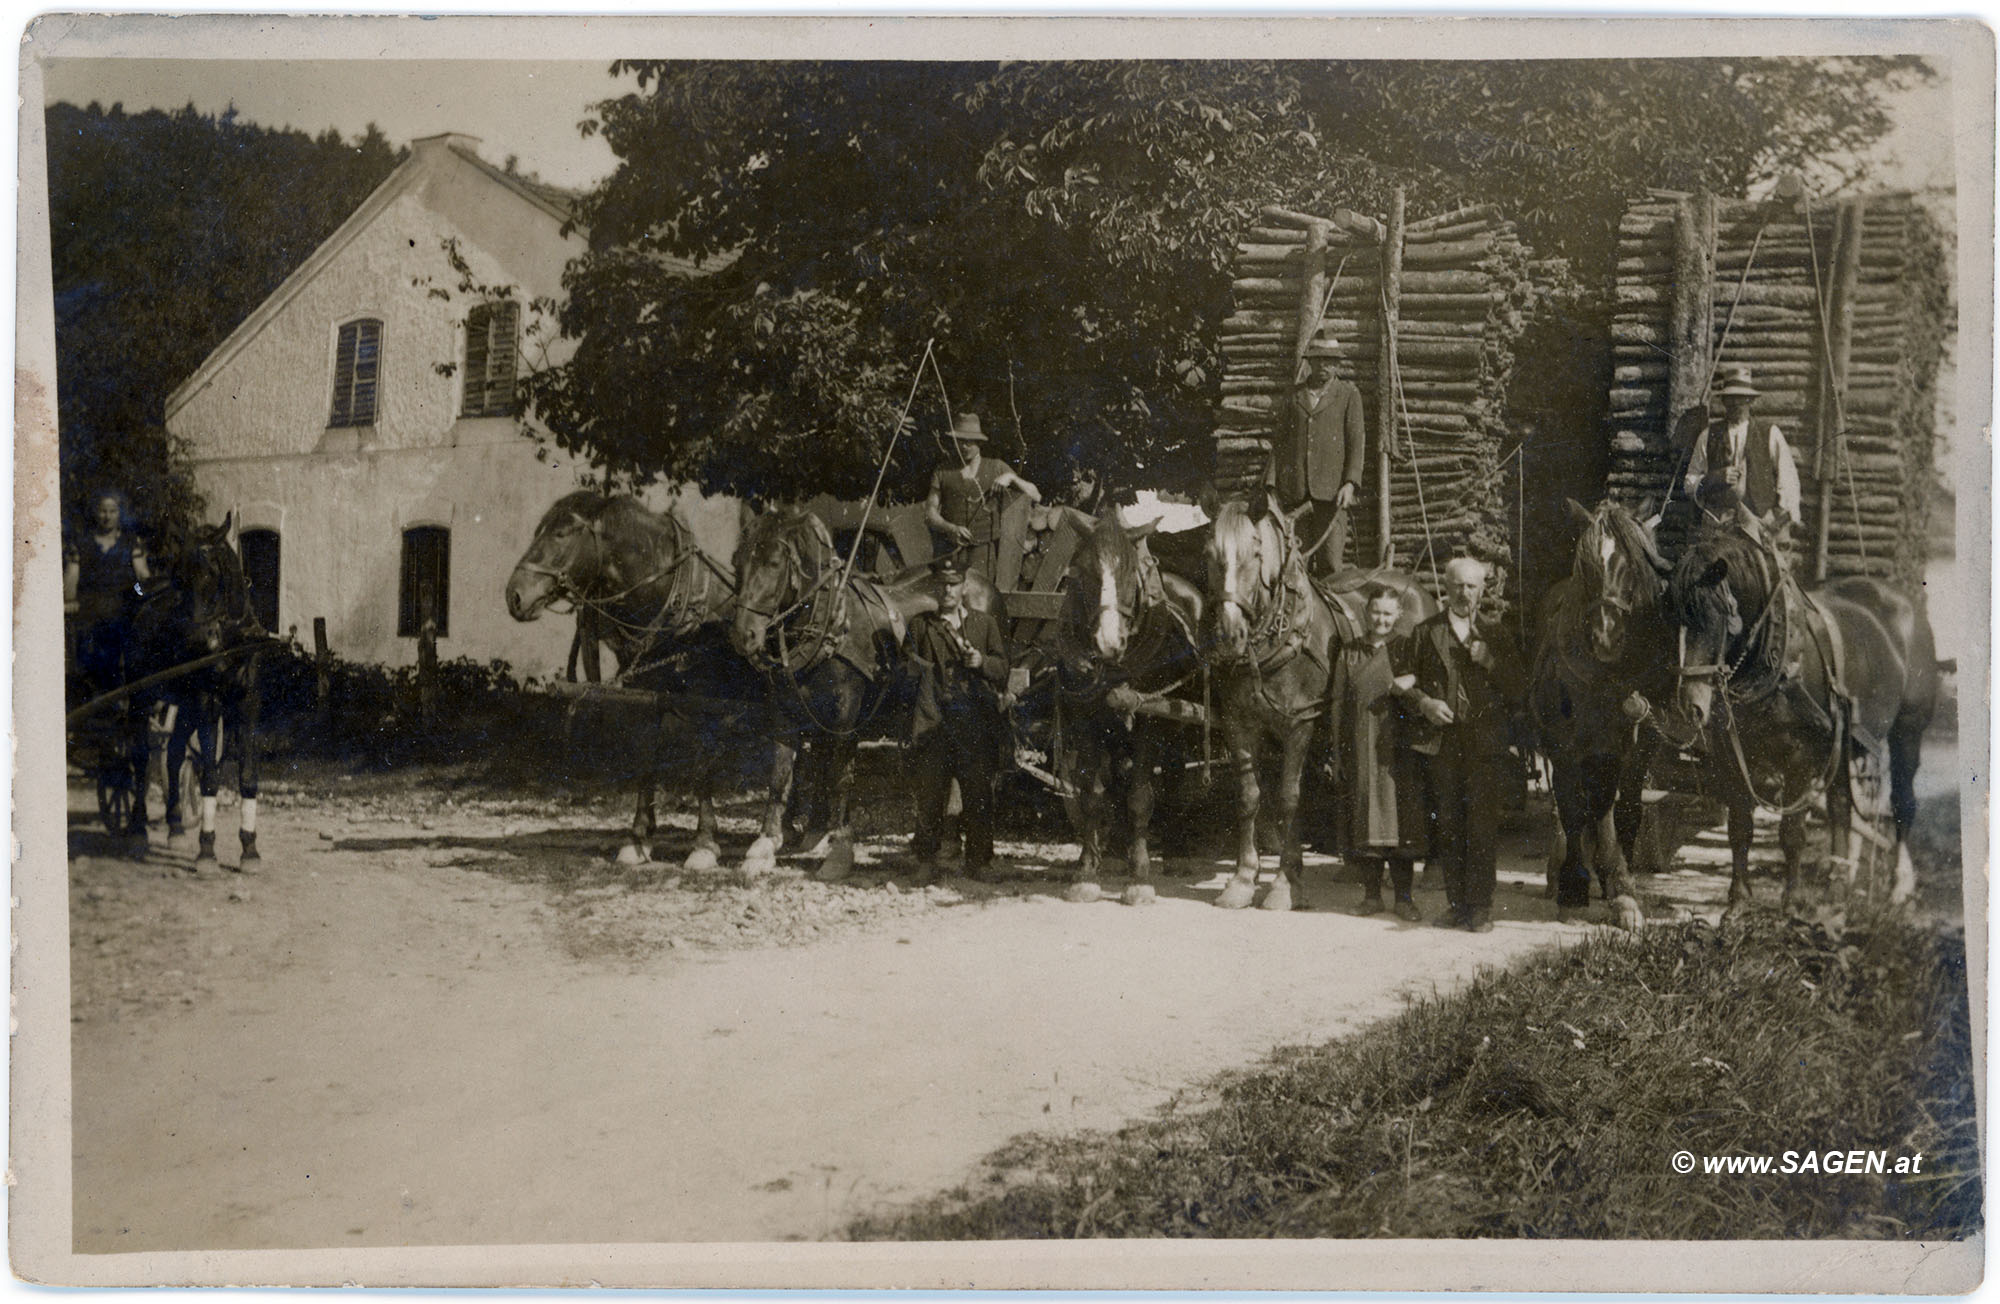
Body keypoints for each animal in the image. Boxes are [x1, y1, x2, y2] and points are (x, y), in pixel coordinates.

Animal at [504, 494, 748, 872]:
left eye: (561, 533)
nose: (515, 596)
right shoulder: (646, 690)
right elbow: (646, 754)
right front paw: (638, 839)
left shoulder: (705, 697)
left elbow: (702, 762)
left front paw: (705, 844)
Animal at [728, 504, 936, 880]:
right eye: (737, 562)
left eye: (774, 563)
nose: (743, 635)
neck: (831, 622)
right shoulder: (785, 709)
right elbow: (780, 775)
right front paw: (765, 844)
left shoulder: (846, 712)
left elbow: (840, 776)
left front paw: (840, 850)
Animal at [1056, 506, 1208, 908]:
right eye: (1084, 572)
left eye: (1130, 573)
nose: (1109, 642)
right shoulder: (1085, 719)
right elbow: (1090, 795)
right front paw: (1086, 871)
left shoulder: (1148, 720)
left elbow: (1140, 795)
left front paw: (1139, 877)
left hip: (1176, 716)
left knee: (1172, 774)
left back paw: (1173, 849)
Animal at [1528, 494, 1672, 932]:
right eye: (1586, 567)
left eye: (1633, 568)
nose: (1606, 637)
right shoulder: (1562, 746)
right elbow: (1572, 807)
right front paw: (1573, 888)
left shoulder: (1618, 746)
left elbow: (1609, 806)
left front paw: (1621, 890)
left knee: (1613, 805)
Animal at [1672, 520, 1936, 916]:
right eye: (1672, 617)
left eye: (1715, 617)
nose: (1692, 706)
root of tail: (1906, 603)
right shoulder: (1732, 753)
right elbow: (1739, 827)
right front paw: (1738, 902)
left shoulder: (1801, 754)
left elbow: (1792, 832)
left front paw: (1793, 902)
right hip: (1845, 740)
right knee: (1842, 806)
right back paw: (1838, 884)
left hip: (1908, 729)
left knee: (1902, 800)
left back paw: (1899, 887)